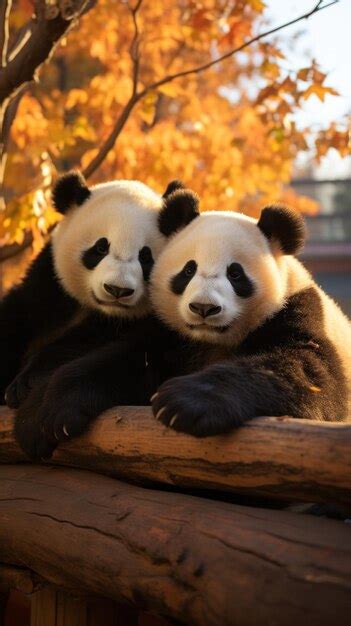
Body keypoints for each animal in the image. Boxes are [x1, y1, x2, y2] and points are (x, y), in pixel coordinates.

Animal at [150, 200, 351, 434]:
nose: (204, 307)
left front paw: (185, 403)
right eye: (189, 270)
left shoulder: (295, 307)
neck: (213, 340)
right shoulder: (166, 333)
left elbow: (310, 372)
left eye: (235, 274)